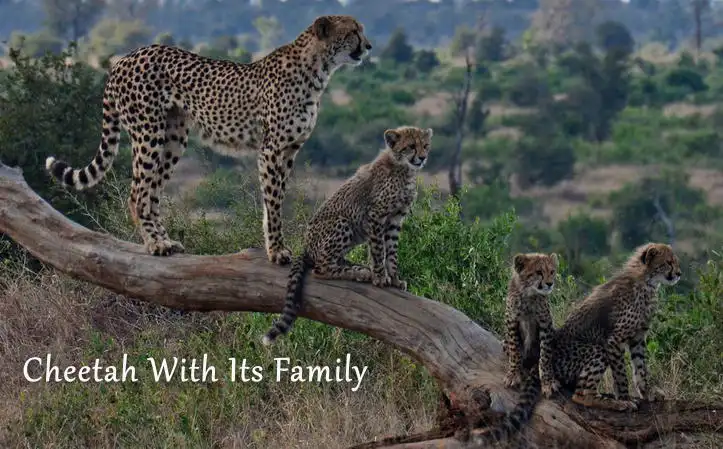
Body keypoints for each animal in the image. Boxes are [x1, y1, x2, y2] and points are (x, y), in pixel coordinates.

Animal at [46, 14, 374, 262]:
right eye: (353, 31)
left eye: (361, 30)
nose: (369, 46)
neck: (318, 69)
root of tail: (124, 58)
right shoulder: (271, 150)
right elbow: (273, 202)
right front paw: (276, 251)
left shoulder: (290, 150)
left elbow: (277, 198)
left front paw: (276, 246)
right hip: (148, 134)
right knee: (137, 193)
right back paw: (154, 244)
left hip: (173, 139)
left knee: (152, 193)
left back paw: (166, 241)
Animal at [264, 125, 432, 344]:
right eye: (411, 146)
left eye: (425, 145)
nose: (422, 157)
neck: (403, 168)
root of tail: (306, 247)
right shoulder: (376, 216)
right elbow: (378, 250)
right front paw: (380, 278)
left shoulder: (395, 220)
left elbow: (391, 253)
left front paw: (394, 278)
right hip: (343, 223)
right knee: (321, 268)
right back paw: (359, 273)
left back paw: (358, 268)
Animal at [552, 242, 680, 410]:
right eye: (668, 262)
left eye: (675, 262)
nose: (679, 274)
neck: (647, 282)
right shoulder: (614, 340)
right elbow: (620, 373)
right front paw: (625, 398)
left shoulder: (638, 337)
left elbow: (640, 367)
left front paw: (647, 392)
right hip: (597, 349)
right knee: (581, 394)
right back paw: (613, 403)